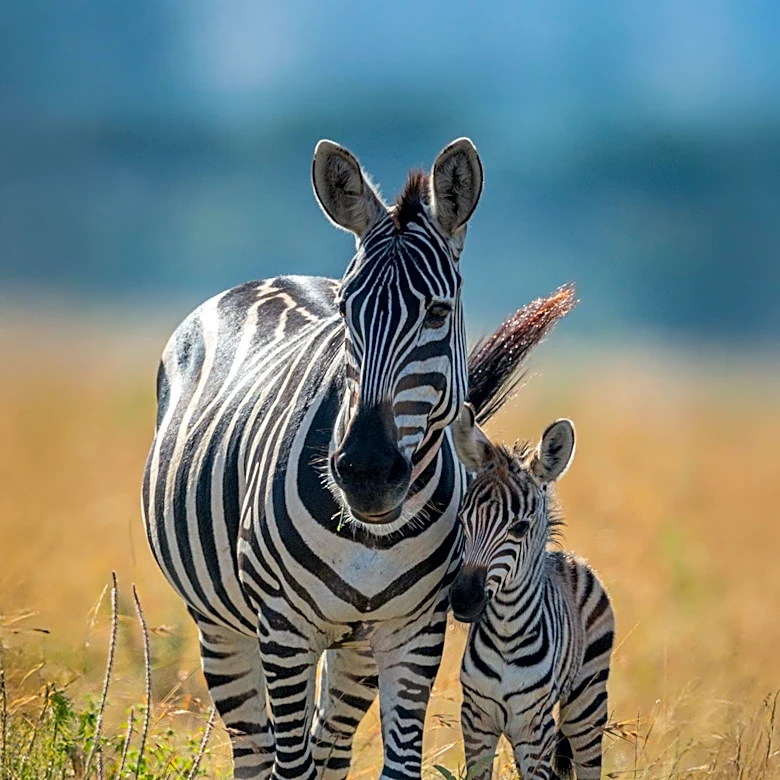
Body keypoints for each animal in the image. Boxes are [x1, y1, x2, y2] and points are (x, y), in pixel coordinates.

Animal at [143, 137, 492, 780]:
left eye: (437, 312)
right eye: (348, 312)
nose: (367, 473)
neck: (372, 538)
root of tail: (272, 278)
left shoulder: (415, 632)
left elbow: (397, 765)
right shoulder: (284, 629)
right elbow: (289, 765)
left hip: (354, 649)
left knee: (329, 746)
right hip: (220, 626)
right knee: (257, 751)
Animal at [448, 404, 615, 779]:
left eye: (520, 527)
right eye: (462, 520)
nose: (463, 599)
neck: (506, 633)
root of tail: (566, 559)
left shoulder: (534, 730)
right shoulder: (476, 719)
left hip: (587, 703)